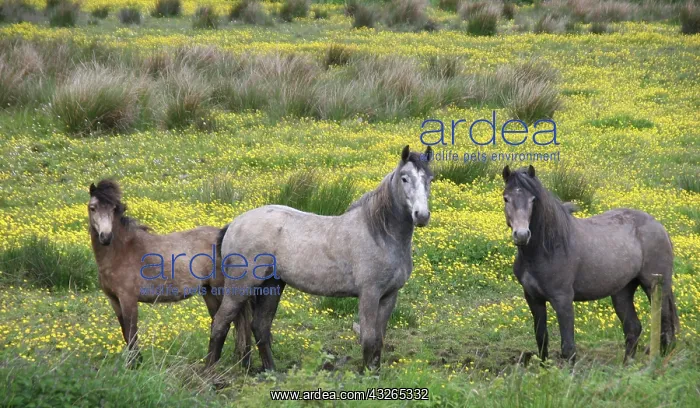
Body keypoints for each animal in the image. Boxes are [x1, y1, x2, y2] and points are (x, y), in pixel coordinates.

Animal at [88, 179, 252, 367]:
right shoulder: (114, 300)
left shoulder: (128, 299)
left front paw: (134, 365)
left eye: (114, 209)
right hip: (209, 291)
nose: (105, 237)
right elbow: (125, 332)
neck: (121, 251)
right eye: (92, 208)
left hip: (223, 290)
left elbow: (131, 331)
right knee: (219, 321)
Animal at [205, 145, 433, 371]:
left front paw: (374, 374)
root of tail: (234, 224)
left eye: (429, 178)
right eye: (404, 178)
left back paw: (272, 372)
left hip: (273, 284)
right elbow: (368, 340)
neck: (379, 234)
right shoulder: (369, 294)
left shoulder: (389, 296)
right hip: (240, 287)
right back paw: (209, 373)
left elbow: (379, 341)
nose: (421, 215)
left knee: (260, 326)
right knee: (220, 323)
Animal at [502, 165, 680, 363]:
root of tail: (659, 226)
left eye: (533, 199)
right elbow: (542, 341)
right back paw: (627, 367)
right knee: (633, 328)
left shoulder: (562, 299)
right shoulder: (533, 299)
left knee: (665, 326)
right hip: (623, 291)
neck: (548, 248)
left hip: (656, 287)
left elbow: (568, 347)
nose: (522, 235)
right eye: (506, 198)